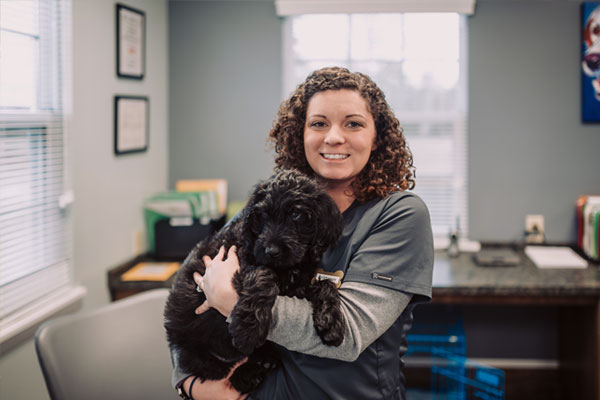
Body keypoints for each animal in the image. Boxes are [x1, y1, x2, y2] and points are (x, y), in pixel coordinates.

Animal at [164, 169, 344, 394]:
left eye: (296, 214)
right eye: (262, 215)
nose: (271, 251)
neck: (288, 268)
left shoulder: (300, 283)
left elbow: (325, 285)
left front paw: (331, 322)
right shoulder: (241, 262)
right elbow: (264, 276)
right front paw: (248, 328)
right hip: (198, 351)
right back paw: (249, 371)